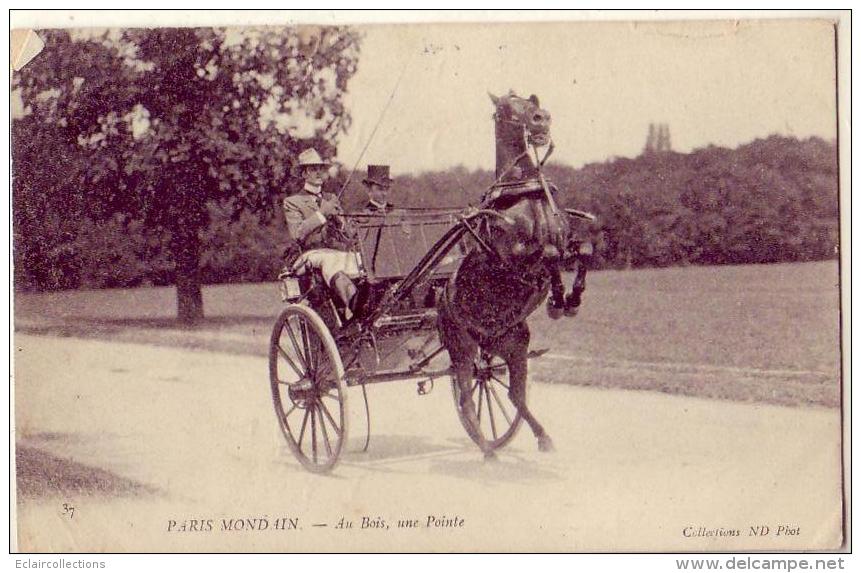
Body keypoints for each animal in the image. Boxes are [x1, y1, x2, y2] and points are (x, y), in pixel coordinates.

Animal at [440, 90, 580, 456]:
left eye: (534, 101)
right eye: (505, 107)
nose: (541, 120)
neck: (525, 192)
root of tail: (439, 300)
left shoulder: (566, 240)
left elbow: (580, 253)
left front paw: (566, 300)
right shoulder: (512, 257)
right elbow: (547, 255)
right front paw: (558, 299)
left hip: (513, 348)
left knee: (514, 395)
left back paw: (542, 437)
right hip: (462, 349)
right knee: (466, 398)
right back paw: (487, 449)